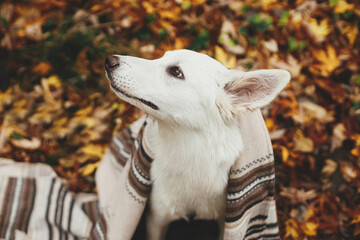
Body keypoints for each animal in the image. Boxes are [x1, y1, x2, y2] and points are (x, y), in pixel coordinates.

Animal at [103, 49, 290, 239]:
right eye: (162, 56)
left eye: (175, 71)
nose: (109, 61)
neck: (189, 152)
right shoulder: (157, 219)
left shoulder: (223, 221)